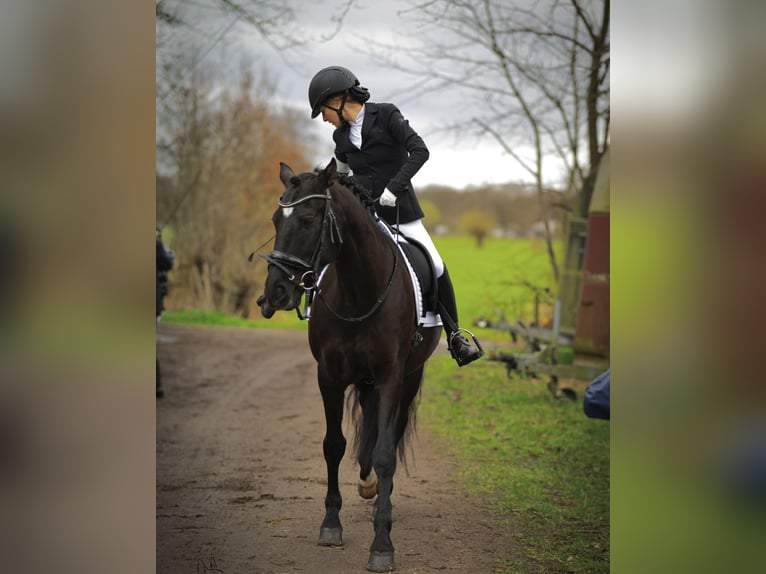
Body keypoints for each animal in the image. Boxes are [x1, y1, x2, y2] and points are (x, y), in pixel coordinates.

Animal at [258, 160, 440, 572]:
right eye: (276, 219)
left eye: (308, 219)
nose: (275, 293)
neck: (360, 289)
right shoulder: (329, 376)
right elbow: (333, 445)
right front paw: (330, 524)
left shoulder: (390, 378)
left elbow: (386, 453)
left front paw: (382, 543)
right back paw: (367, 482)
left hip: (409, 379)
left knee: (393, 436)